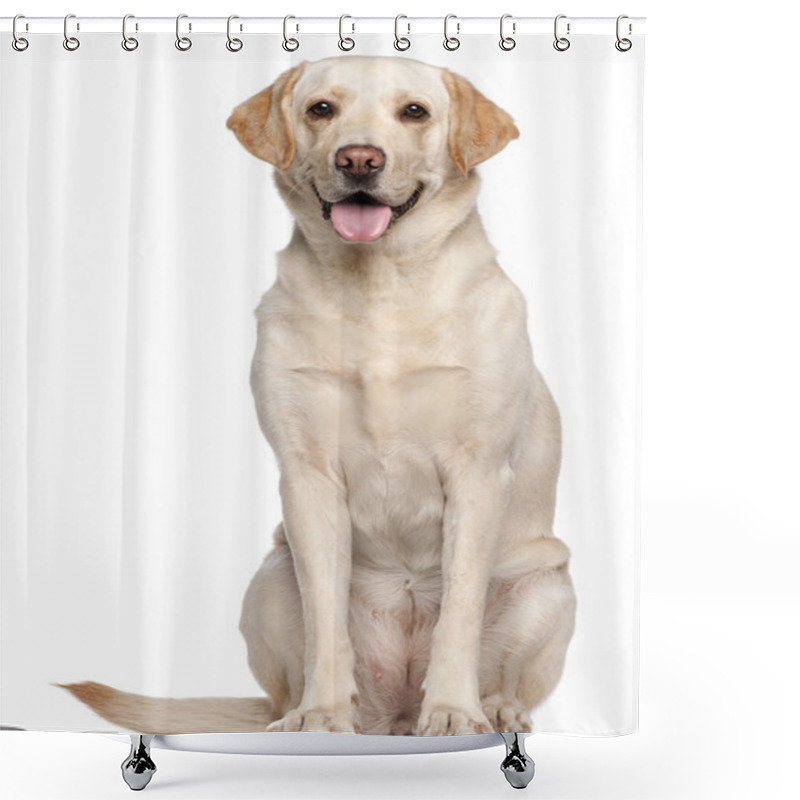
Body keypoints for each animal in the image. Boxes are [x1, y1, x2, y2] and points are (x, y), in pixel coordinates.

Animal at [62, 56, 576, 736]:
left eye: (415, 112)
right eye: (321, 109)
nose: (359, 159)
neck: (378, 282)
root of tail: (393, 718)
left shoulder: (479, 473)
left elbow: (459, 614)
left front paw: (452, 711)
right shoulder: (308, 477)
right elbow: (325, 619)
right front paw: (323, 715)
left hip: (547, 585)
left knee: (510, 670)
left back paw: (492, 707)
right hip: (270, 577)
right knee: (291, 673)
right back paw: (302, 716)